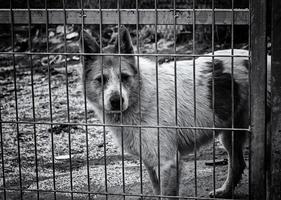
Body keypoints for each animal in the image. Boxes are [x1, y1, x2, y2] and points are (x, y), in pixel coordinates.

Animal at [79, 27, 270, 198]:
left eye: (124, 77)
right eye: (101, 80)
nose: (116, 101)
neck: (141, 95)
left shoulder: (167, 163)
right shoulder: (150, 163)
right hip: (230, 134)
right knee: (238, 164)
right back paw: (224, 191)